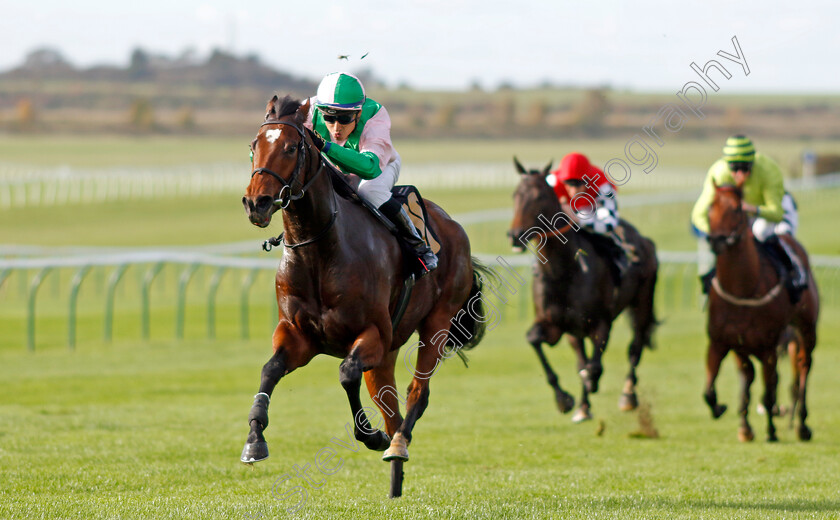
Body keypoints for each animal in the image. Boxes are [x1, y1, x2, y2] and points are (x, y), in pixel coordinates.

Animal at [240, 96, 488, 492]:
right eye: (254, 145)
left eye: (292, 147)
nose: (256, 203)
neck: (319, 251)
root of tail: (452, 225)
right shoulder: (298, 336)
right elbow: (270, 369)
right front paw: (254, 440)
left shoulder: (372, 333)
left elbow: (346, 374)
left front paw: (370, 436)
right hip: (389, 350)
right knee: (389, 403)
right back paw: (395, 472)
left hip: (436, 323)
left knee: (417, 393)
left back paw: (397, 444)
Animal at [508, 161, 660, 422]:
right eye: (515, 195)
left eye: (539, 196)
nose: (514, 235)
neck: (563, 273)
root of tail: (645, 241)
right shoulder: (554, 324)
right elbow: (535, 340)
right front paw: (564, 399)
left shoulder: (602, 322)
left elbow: (594, 366)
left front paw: (591, 384)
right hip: (574, 330)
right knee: (582, 357)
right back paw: (584, 405)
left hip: (642, 302)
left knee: (635, 347)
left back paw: (627, 395)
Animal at [704, 185, 816, 440]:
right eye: (710, 207)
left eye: (737, 209)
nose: (716, 240)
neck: (742, 289)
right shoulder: (720, 342)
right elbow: (709, 391)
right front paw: (726, 412)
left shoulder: (768, 348)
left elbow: (769, 390)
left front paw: (772, 431)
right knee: (751, 376)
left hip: (806, 328)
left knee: (804, 366)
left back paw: (802, 425)